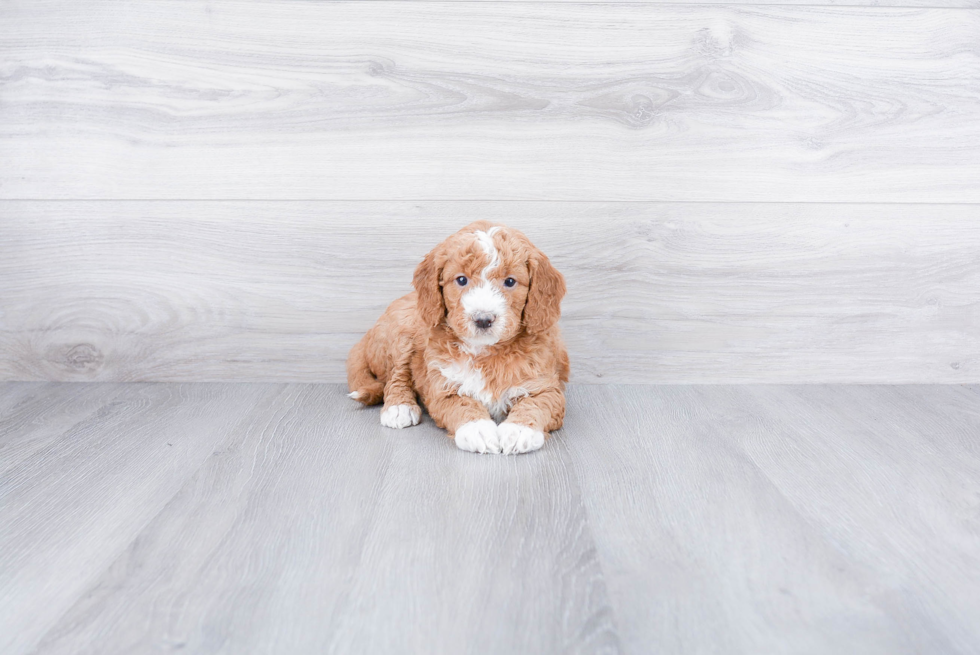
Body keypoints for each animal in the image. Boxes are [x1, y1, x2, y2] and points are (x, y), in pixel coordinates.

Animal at [348, 222, 572, 456]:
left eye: (510, 281)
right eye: (462, 280)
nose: (483, 319)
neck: (486, 353)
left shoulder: (546, 386)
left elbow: (537, 404)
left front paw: (519, 430)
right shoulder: (442, 388)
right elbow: (462, 405)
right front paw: (478, 430)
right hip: (403, 330)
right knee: (396, 374)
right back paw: (399, 407)